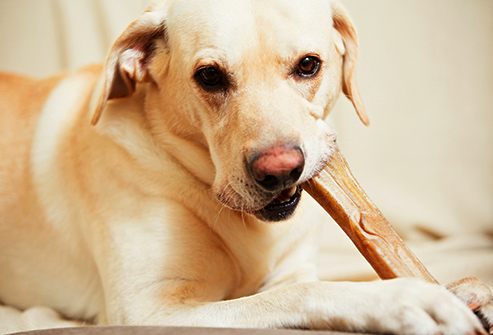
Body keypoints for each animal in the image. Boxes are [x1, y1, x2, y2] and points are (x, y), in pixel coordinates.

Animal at [0, 0, 490, 334]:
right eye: (210, 76)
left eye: (308, 65)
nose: (280, 170)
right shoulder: (147, 309)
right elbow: (307, 292)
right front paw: (405, 298)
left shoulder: (295, 265)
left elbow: (319, 279)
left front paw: (465, 292)